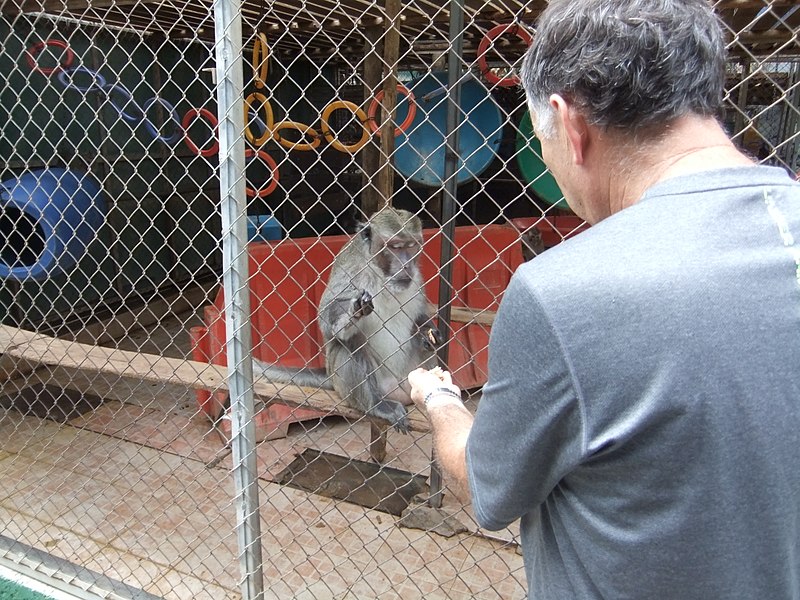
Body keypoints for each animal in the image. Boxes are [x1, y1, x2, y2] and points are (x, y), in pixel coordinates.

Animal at [255, 206, 440, 432]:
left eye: (412, 246)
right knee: (349, 345)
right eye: (395, 247)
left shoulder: (415, 278)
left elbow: (420, 316)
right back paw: (377, 405)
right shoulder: (351, 269)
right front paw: (354, 310)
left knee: (424, 349)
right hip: (349, 386)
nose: (406, 265)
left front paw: (428, 333)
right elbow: (327, 318)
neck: (380, 275)